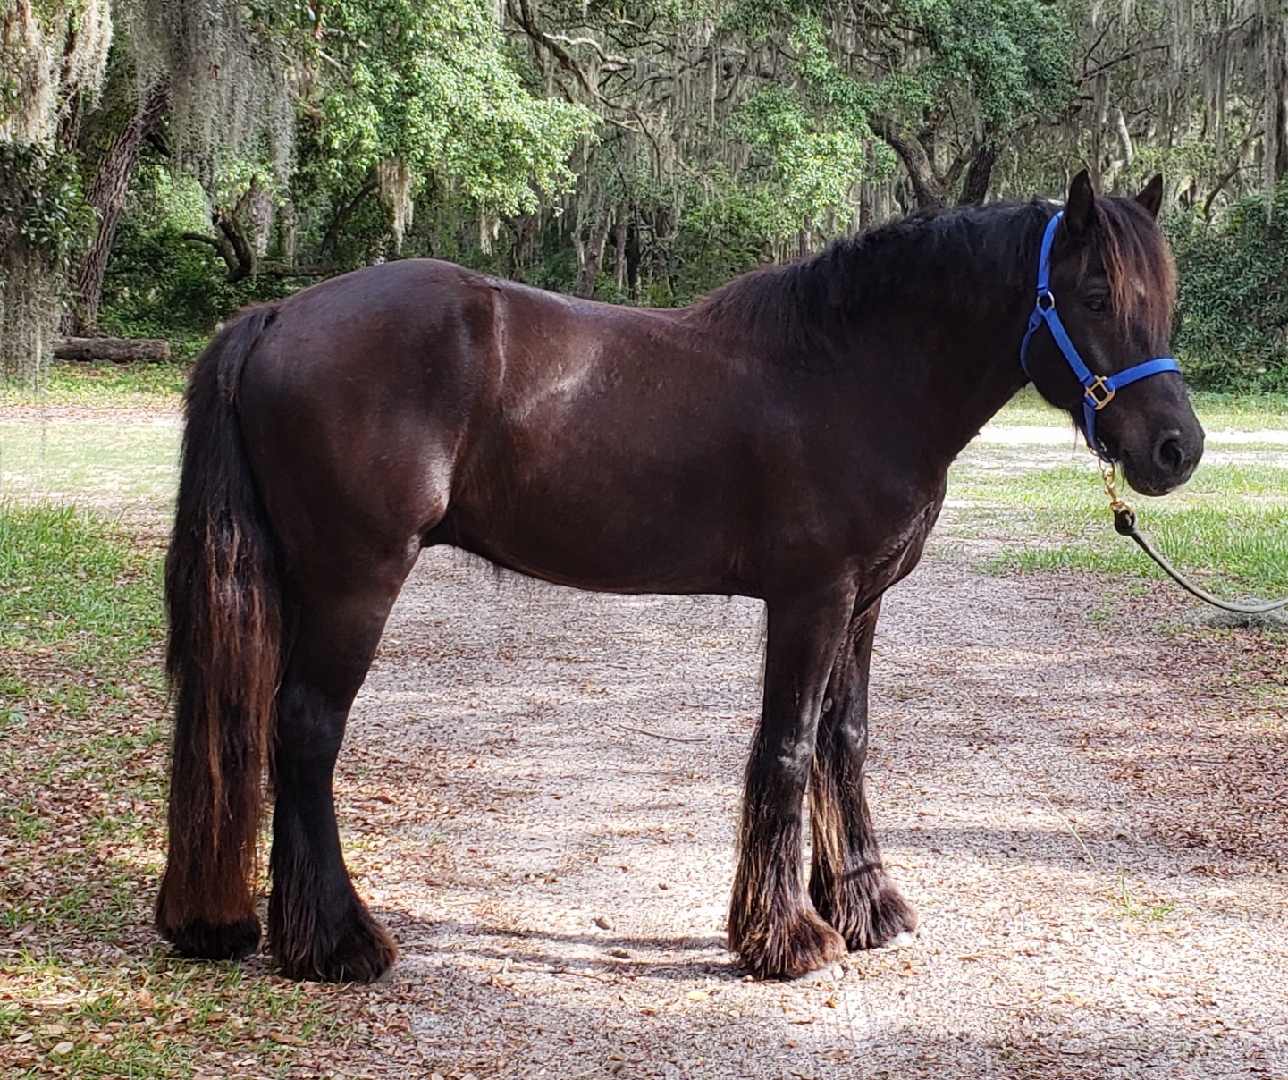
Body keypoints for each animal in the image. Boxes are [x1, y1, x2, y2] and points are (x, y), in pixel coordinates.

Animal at [155, 175, 1200, 978]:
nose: (1175, 449)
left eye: (1163, 296)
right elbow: (786, 749)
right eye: (1094, 295)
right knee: (305, 729)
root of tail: (278, 315)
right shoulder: (811, 600)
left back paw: (239, 924)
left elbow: (845, 742)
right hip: (354, 580)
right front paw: (786, 938)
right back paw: (337, 943)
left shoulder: (862, 605)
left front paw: (865, 908)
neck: (852, 371)